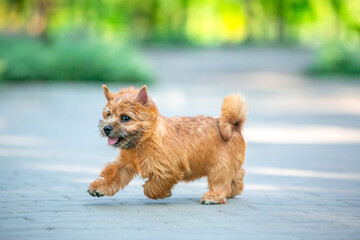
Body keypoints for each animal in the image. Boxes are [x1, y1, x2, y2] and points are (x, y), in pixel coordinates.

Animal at [88, 85, 248, 203]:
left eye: (125, 118)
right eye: (108, 114)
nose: (106, 128)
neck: (145, 140)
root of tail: (235, 126)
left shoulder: (168, 170)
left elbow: (151, 187)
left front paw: (163, 193)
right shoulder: (124, 165)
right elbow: (113, 176)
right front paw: (99, 188)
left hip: (219, 167)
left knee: (221, 183)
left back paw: (213, 197)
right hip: (228, 165)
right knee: (237, 178)